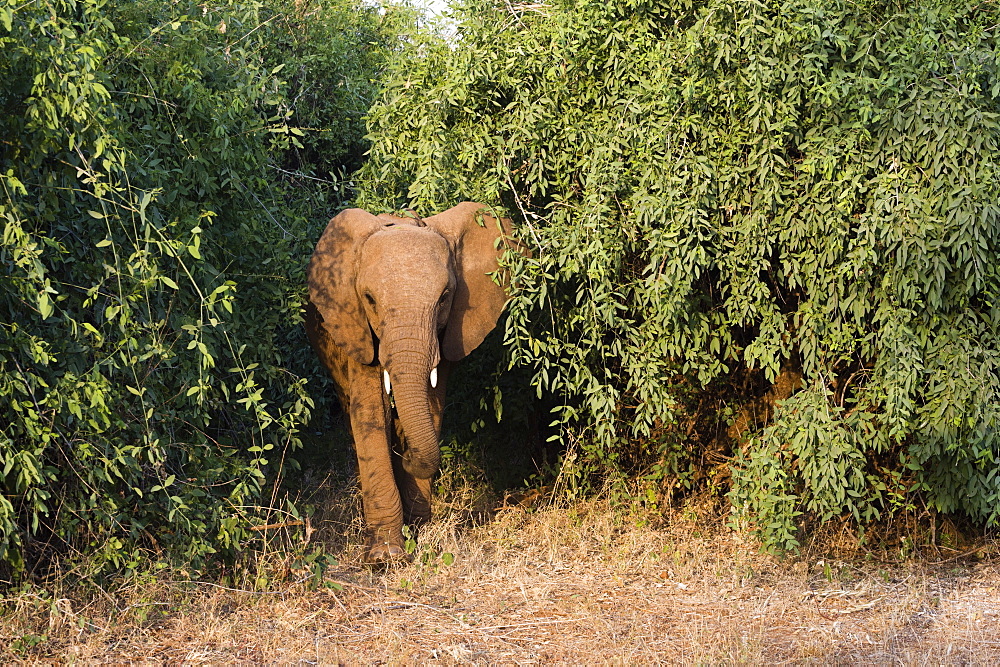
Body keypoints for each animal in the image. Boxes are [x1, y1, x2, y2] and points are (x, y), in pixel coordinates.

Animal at [304, 201, 516, 560]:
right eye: (369, 299)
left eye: (445, 297)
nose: (408, 457)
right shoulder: (358, 326)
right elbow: (371, 414)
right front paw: (385, 556)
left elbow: (431, 406)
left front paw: (418, 530)